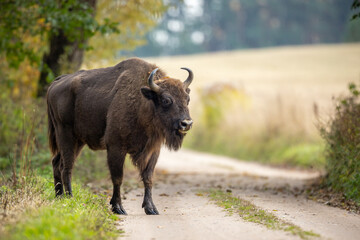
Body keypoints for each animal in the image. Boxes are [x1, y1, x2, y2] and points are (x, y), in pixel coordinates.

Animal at [48, 57, 194, 215]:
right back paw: (70, 198)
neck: (142, 102)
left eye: (187, 99)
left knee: (57, 163)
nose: (186, 123)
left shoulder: (153, 150)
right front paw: (118, 207)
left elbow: (148, 177)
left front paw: (151, 208)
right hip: (66, 135)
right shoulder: (116, 148)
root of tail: (55, 83)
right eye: (166, 100)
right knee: (67, 167)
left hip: (78, 141)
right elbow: (118, 178)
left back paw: (59, 197)